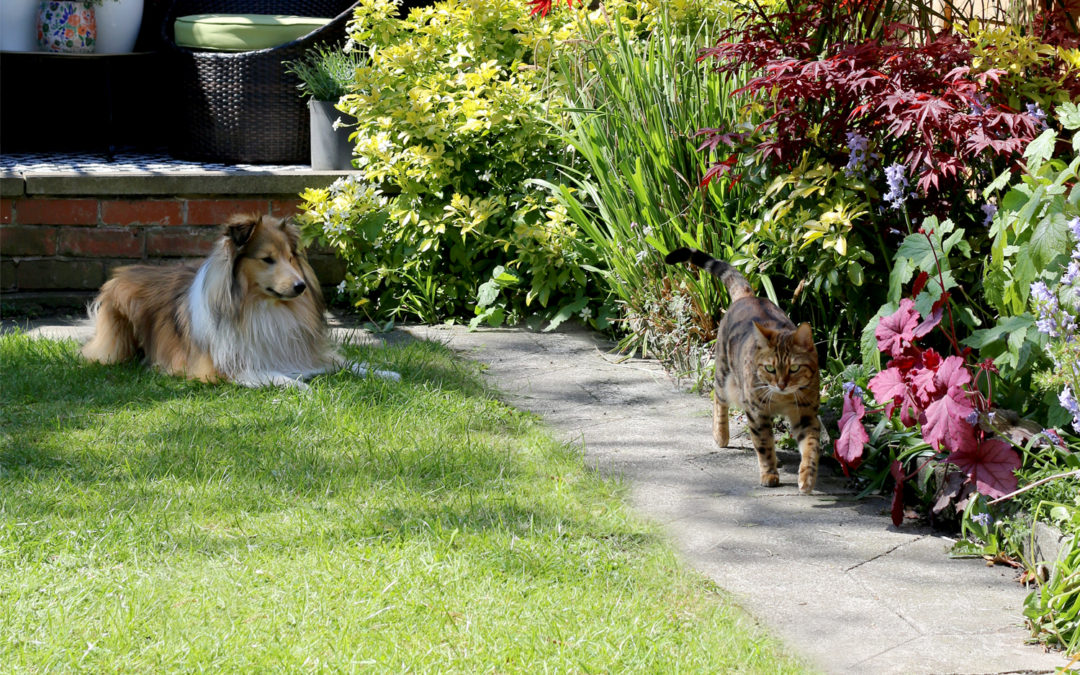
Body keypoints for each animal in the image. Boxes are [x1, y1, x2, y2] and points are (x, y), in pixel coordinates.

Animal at [81, 212, 401, 386]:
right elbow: (274, 376)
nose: (300, 287)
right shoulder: (221, 368)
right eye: (267, 259)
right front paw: (302, 388)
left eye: (289, 257)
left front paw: (385, 373)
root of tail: (120, 274)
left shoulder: (297, 352)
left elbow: (347, 364)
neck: (259, 308)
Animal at [660, 246, 820, 490]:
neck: (782, 398)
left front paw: (807, 477)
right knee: (719, 400)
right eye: (770, 369)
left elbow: (810, 446)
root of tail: (748, 296)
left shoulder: (806, 413)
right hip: (724, 373)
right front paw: (769, 474)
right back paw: (721, 435)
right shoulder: (756, 411)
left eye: (794, 369)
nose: (781, 384)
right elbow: (763, 444)